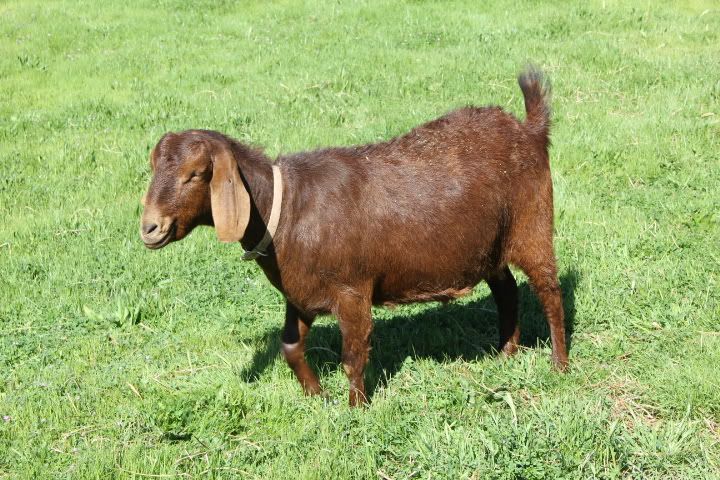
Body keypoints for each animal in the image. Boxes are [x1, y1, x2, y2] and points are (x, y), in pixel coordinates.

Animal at [140, 66, 567, 406]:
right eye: (153, 166)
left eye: (196, 174)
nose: (150, 228)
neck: (288, 208)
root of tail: (529, 129)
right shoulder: (301, 293)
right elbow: (290, 346)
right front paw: (317, 395)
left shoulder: (352, 290)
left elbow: (353, 356)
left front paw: (356, 409)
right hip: (490, 244)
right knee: (507, 289)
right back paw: (506, 352)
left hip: (533, 225)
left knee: (549, 290)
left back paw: (559, 364)